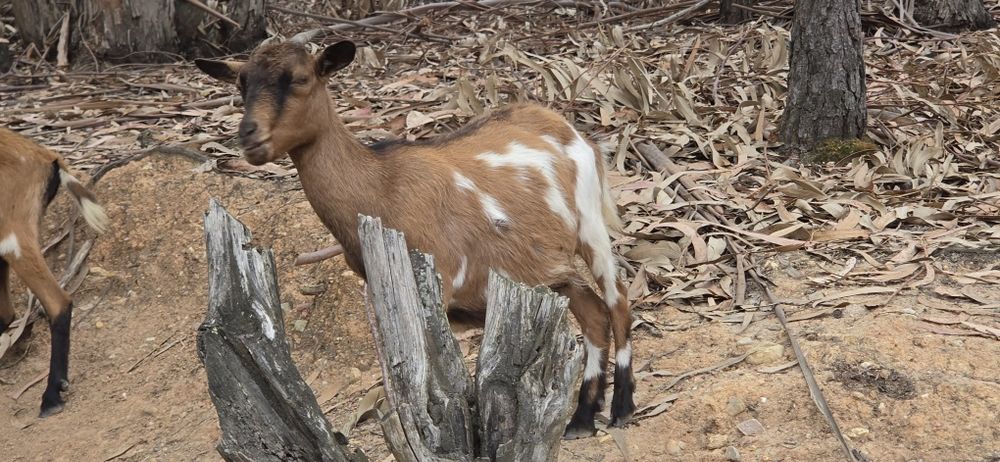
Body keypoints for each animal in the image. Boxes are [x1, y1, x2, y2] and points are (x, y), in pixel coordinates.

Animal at [196, 39, 636, 437]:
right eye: (241, 83)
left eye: (301, 78)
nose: (249, 135)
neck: (379, 185)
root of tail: (560, 123)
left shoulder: (438, 281)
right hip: (547, 268)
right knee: (592, 313)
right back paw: (581, 419)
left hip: (590, 225)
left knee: (617, 303)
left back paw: (621, 407)